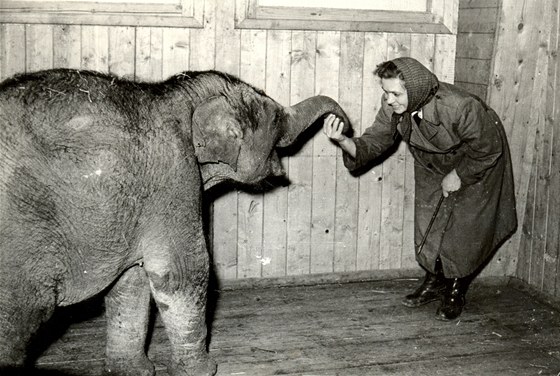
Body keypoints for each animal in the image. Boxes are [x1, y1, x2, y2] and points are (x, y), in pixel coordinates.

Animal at [0, 68, 350, 376]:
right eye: (276, 118)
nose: (341, 125)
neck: (174, 93)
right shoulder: (173, 177)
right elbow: (181, 273)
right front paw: (203, 371)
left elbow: (132, 280)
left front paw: (132, 372)